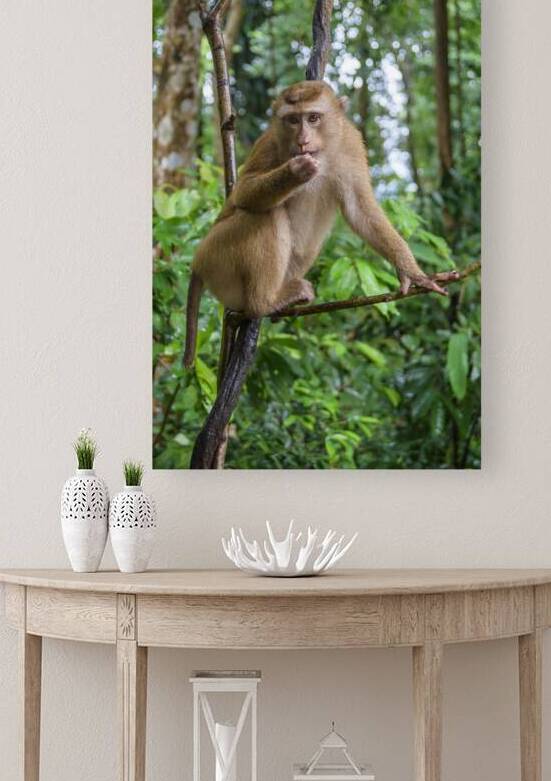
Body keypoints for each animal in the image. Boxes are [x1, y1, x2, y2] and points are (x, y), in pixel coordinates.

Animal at [184, 80, 452, 368]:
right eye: (293, 120)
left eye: (313, 118)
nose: (303, 140)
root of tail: (197, 262)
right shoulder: (270, 141)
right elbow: (243, 193)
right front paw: (294, 171)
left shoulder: (351, 143)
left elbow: (360, 210)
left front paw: (410, 272)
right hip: (217, 254)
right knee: (267, 214)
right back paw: (264, 303)